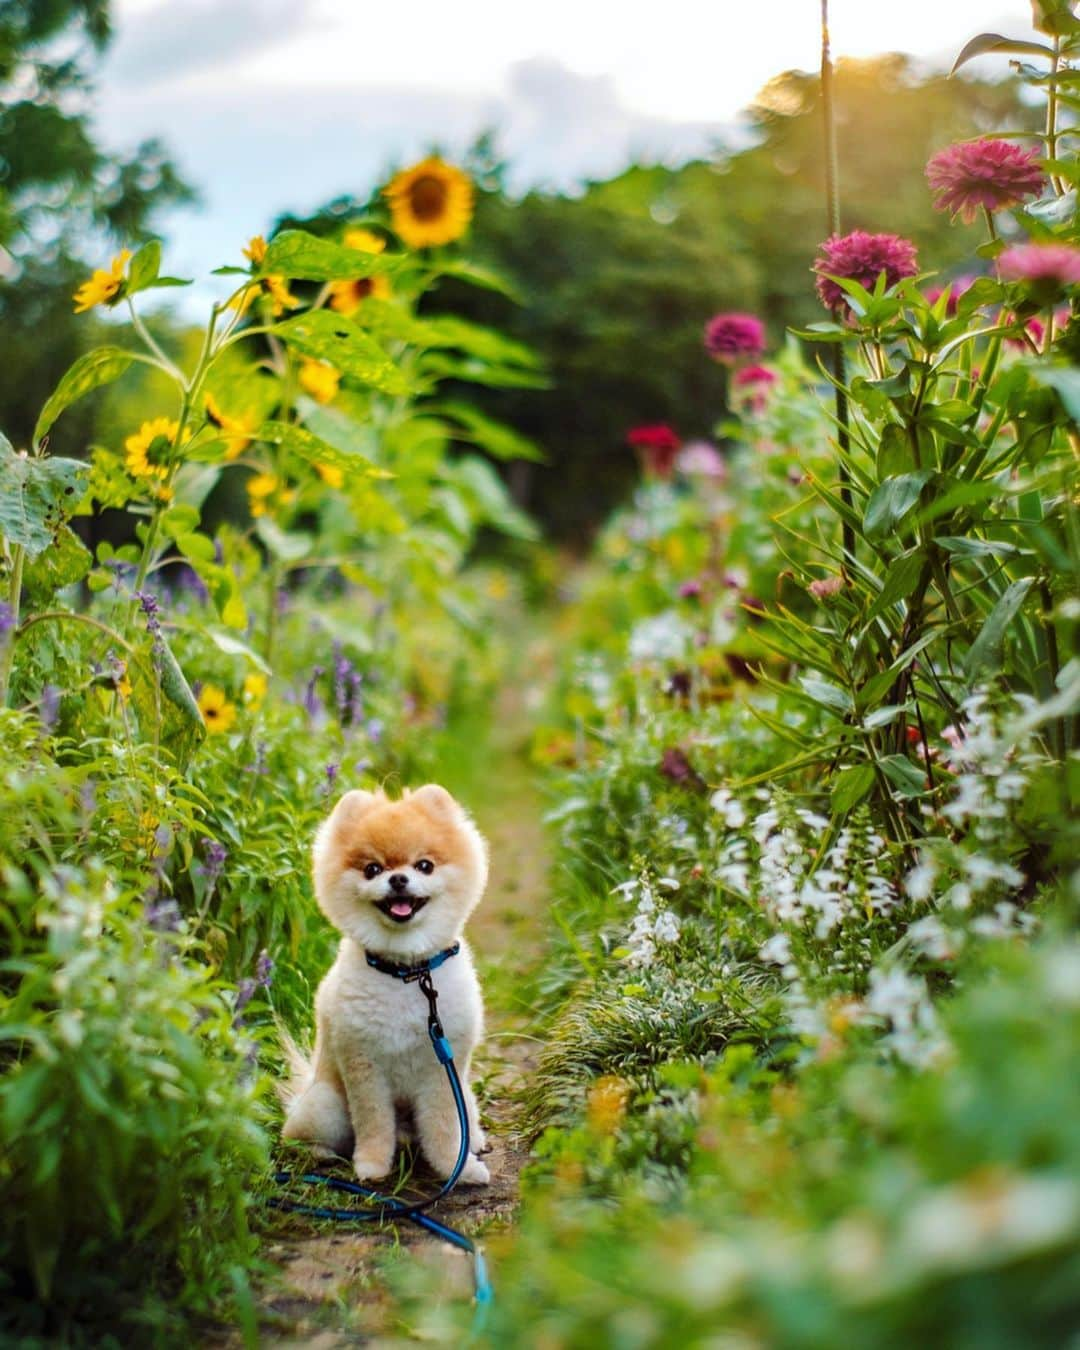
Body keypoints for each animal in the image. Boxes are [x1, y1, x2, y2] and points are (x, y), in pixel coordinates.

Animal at [282, 788, 494, 1188]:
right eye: (372, 869)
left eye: (424, 866)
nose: (397, 880)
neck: (407, 973)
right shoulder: (364, 1066)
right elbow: (374, 1122)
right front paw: (371, 1166)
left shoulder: (444, 1071)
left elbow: (446, 1127)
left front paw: (457, 1169)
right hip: (324, 1106)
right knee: (296, 1134)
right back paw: (321, 1154)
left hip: (465, 1094)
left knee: (466, 1121)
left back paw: (473, 1142)